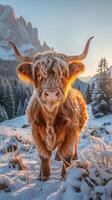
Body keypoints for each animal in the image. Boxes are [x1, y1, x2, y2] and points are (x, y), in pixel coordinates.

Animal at [8, 36, 93, 180]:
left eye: (63, 74)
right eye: (39, 75)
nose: (52, 93)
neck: (50, 116)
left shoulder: (71, 129)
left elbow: (67, 155)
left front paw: (65, 176)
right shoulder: (35, 129)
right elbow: (44, 155)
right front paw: (44, 175)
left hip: (79, 127)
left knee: (74, 143)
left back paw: (73, 156)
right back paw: (57, 157)